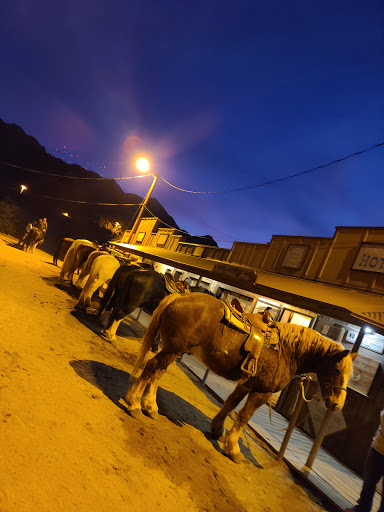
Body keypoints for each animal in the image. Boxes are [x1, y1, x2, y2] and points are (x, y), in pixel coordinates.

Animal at [124, 292, 356, 464]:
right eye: (337, 370)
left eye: (349, 374)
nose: (337, 404)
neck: (287, 352)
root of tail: (179, 297)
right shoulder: (262, 392)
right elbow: (244, 416)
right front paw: (233, 448)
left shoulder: (245, 385)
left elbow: (230, 405)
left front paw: (217, 429)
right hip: (174, 349)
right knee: (151, 368)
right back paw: (134, 403)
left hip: (174, 349)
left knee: (157, 372)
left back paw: (150, 406)